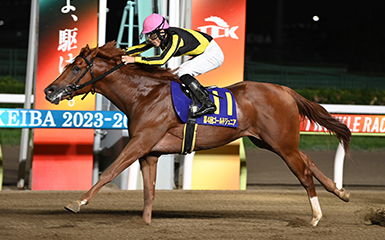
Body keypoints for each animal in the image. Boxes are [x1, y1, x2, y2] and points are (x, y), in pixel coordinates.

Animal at [43, 40, 350, 226]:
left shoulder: (141, 142)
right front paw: (145, 223)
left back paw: (316, 216)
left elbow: (109, 172)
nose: (49, 90)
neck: (144, 95)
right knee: (308, 160)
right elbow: (149, 192)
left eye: (77, 67)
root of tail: (284, 89)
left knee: (304, 173)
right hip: (268, 142)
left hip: (282, 143)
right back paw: (340, 192)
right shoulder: (150, 152)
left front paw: (77, 202)